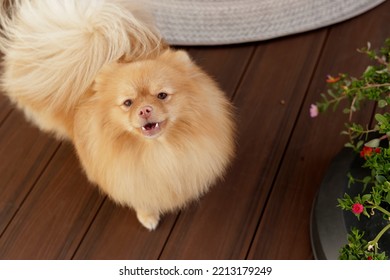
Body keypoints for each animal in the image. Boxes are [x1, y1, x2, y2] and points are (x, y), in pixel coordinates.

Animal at [0, 0, 235, 230]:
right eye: (128, 103)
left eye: (162, 95)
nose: (145, 109)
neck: (158, 150)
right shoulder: (130, 179)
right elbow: (143, 199)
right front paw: (148, 217)